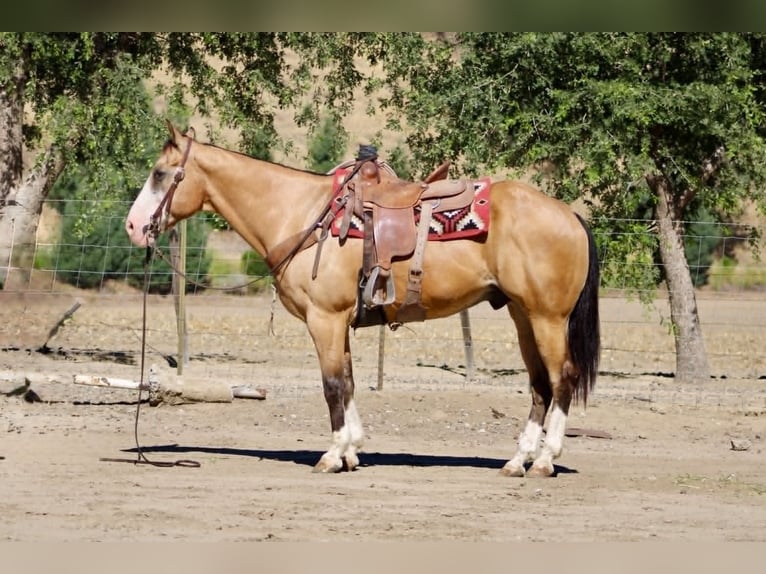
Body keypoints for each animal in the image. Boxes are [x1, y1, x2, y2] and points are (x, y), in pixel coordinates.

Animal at [125, 122, 600, 478]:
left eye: (161, 174)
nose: (132, 226)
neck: (301, 214)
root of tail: (571, 215)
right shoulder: (341, 323)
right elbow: (349, 382)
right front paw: (352, 451)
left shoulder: (325, 319)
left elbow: (333, 385)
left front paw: (332, 454)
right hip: (523, 315)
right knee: (539, 385)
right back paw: (518, 460)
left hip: (547, 317)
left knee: (563, 379)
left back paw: (544, 460)